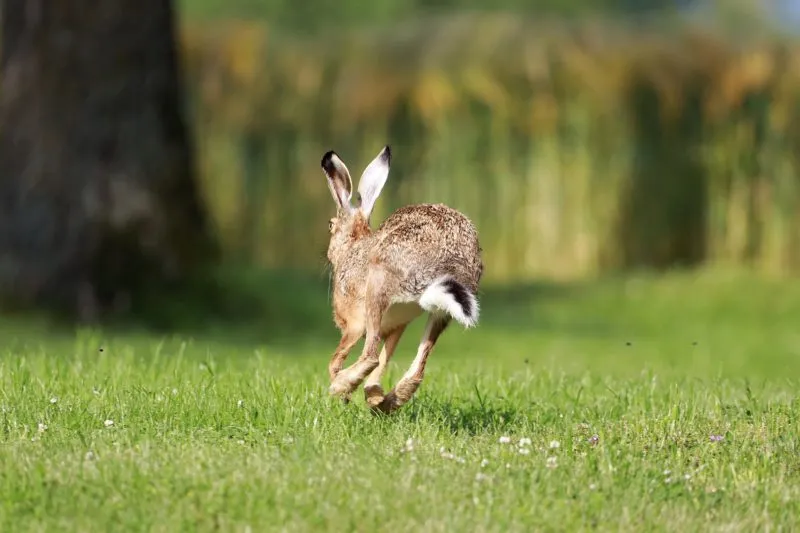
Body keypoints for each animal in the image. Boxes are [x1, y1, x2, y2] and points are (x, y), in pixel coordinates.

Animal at [321, 145, 483, 413]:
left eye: (330, 225)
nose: (328, 253)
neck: (353, 246)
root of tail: (447, 266)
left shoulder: (353, 325)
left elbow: (339, 359)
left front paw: (343, 395)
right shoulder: (397, 324)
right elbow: (384, 359)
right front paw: (372, 396)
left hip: (377, 286)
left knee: (369, 356)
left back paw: (341, 387)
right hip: (439, 313)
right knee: (415, 372)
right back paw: (383, 402)